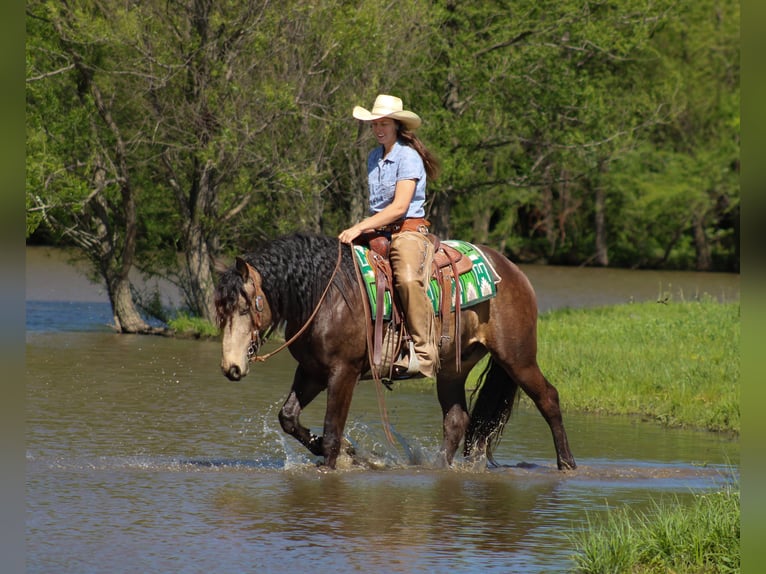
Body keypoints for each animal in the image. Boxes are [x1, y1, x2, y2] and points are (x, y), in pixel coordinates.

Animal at [214, 232, 576, 471]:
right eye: (221, 312)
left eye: (245, 307)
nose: (231, 367)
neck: (327, 294)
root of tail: (513, 272)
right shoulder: (312, 371)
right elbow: (288, 418)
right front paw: (348, 452)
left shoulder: (343, 372)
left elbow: (332, 430)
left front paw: (334, 461)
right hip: (453, 368)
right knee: (456, 419)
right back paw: (437, 468)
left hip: (517, 358)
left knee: (548, 398)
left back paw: (567, 463)